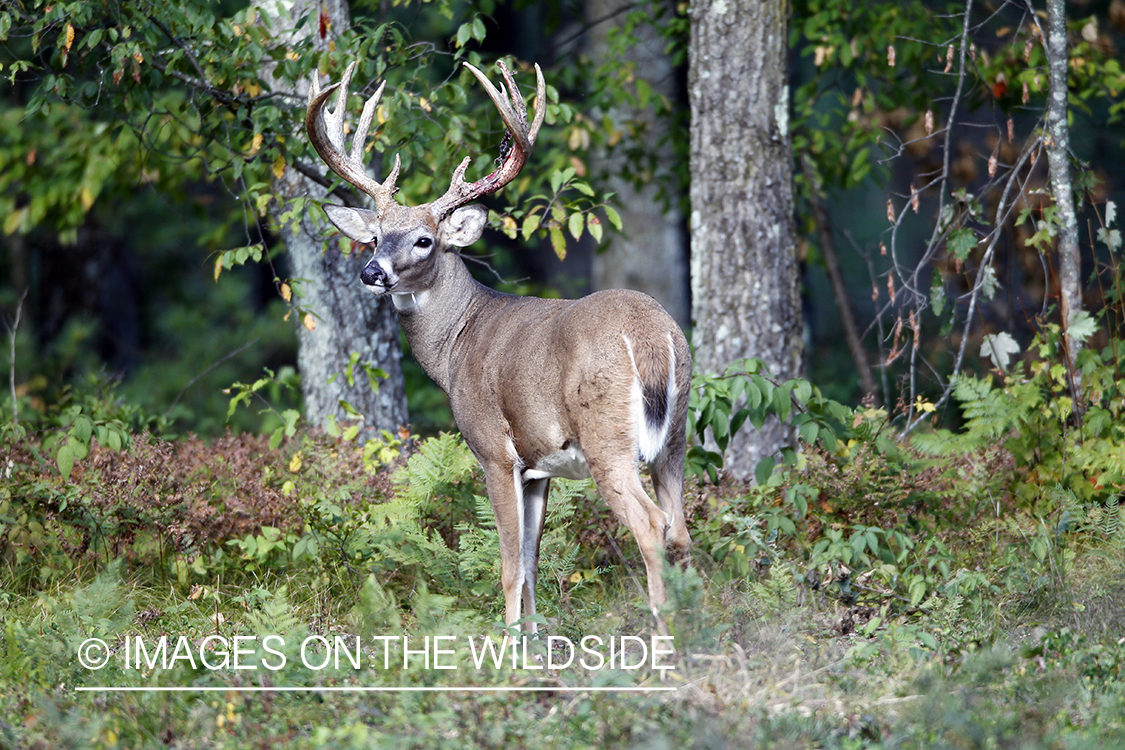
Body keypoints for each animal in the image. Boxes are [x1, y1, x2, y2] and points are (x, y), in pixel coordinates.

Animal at [308, 60, 693, 634]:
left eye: (424, 240)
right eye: (375, 236)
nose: (371, 272)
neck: (456, 345)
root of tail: (652, 334)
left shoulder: (492, 448)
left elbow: (509, 564)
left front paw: (509, 644)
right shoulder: (538, 467)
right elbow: (532, 562)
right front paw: (533, 639)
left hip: (607, 437)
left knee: (651, 523)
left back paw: (664, 638)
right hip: (677, 435)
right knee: (682, 529)